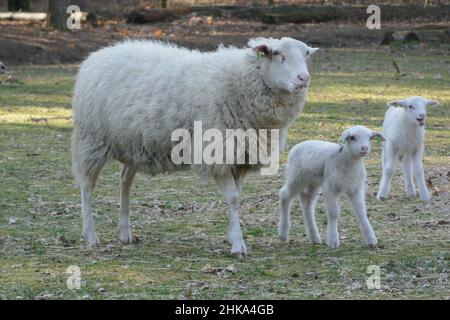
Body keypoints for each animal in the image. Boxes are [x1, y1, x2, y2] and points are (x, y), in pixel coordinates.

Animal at [72, 37, 318, 256]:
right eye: (278, 55)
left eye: (306, 54)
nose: (304, 78)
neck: (240, 83)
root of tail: (100, 54)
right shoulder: (216, 151)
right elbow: (234, 198)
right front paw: (238, 245)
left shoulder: (239, 156)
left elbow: (236, 197)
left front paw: (231, 235)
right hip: (91, 140)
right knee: (87, 187)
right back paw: (91, 236)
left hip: (134, 145)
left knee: (125, 181)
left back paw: (124, 233)